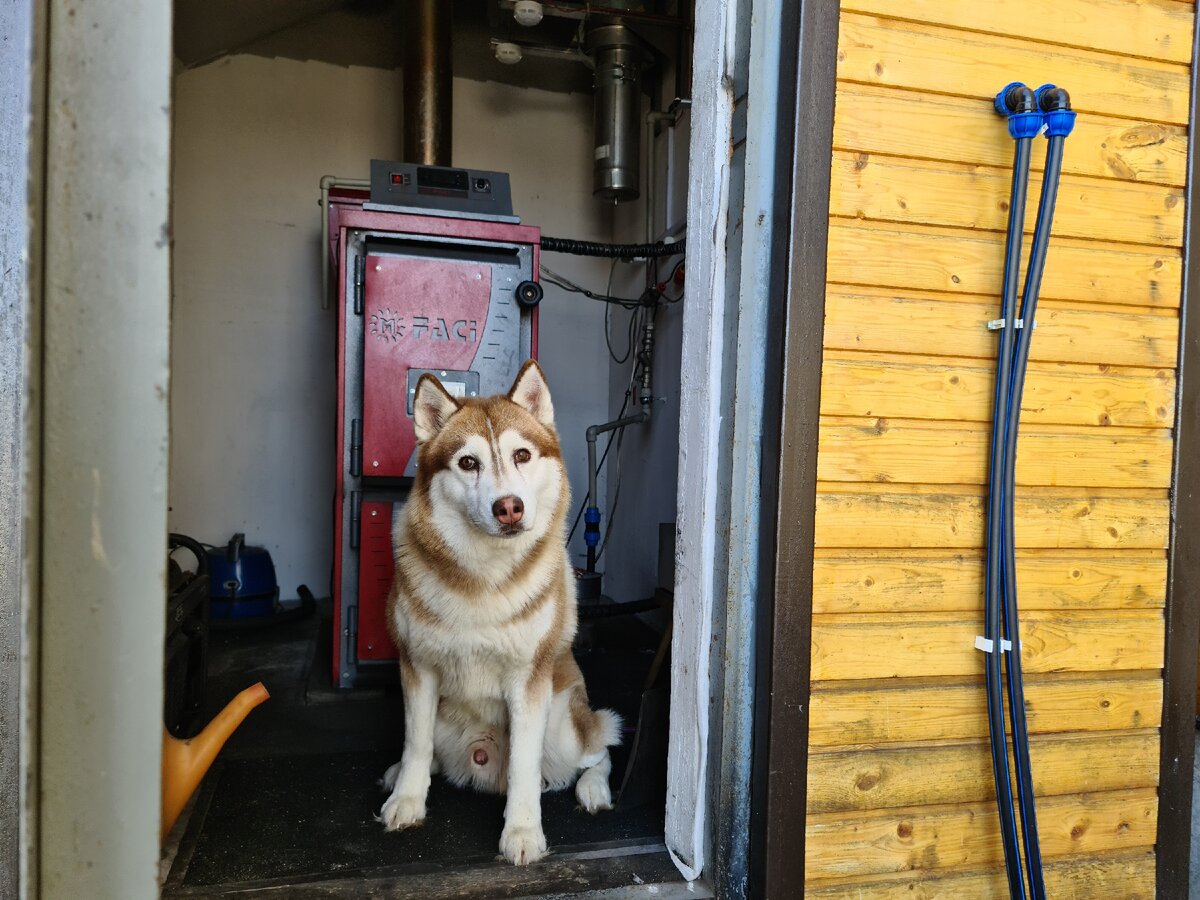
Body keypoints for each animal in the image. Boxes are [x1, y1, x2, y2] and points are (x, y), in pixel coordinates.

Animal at [376, 360, 624, 868]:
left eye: (522, 455)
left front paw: (523, 831)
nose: (509, 507)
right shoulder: (417, 669)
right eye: (468, 463)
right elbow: (415, 742)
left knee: (599, 746)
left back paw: (593, 789)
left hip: (563, 724)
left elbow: (525, 767)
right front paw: (407, 800)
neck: (482, 578)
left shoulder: (528, 680)